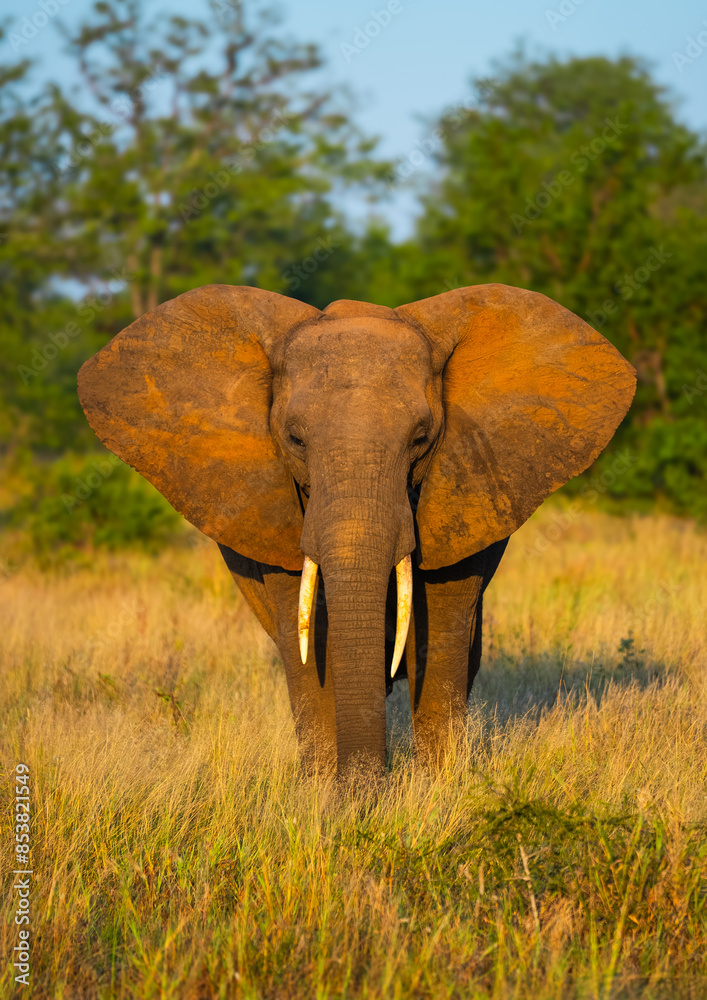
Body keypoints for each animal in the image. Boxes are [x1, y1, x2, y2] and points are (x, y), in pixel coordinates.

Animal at [77, 283, 636, 777]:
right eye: (295, 439)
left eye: (421, 438)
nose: (369, 788)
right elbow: (306, 638)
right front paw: (328, 799)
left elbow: (442, 635)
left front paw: (435, 790)